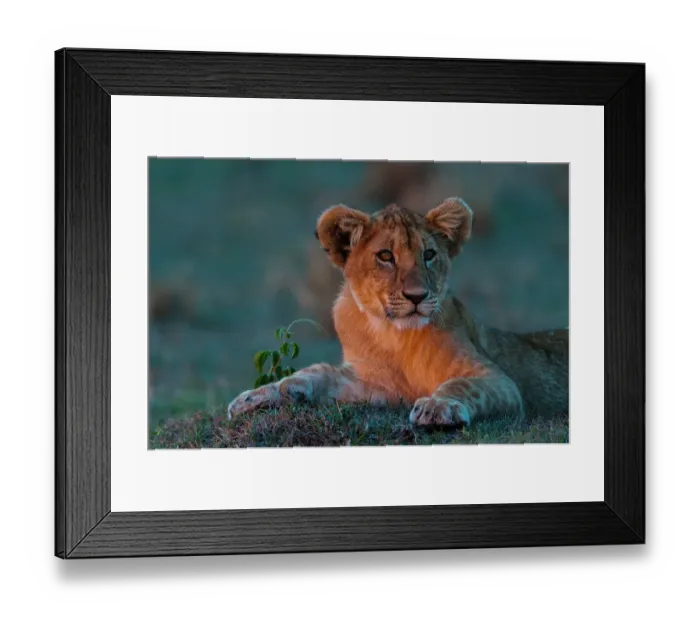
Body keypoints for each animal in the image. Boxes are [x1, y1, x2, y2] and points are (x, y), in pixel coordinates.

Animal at [228, 198, 568, 427]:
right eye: (385, 256)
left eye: (429, 254)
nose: (417, 297)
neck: (395, 336)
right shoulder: (378, 386)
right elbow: (316, 372)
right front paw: (258, 395)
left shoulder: (500, 381)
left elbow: (460, 384)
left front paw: (436, 406)